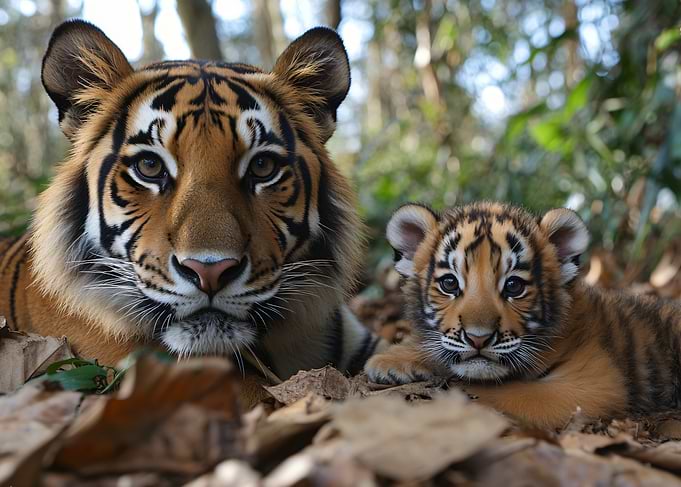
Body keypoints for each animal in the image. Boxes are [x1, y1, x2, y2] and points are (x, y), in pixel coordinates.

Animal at [365, 201, 681, 429]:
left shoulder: (594, 384)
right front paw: (391, 360)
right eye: (450, 284)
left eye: (514, 286)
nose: (478, 339)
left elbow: (503, 393)